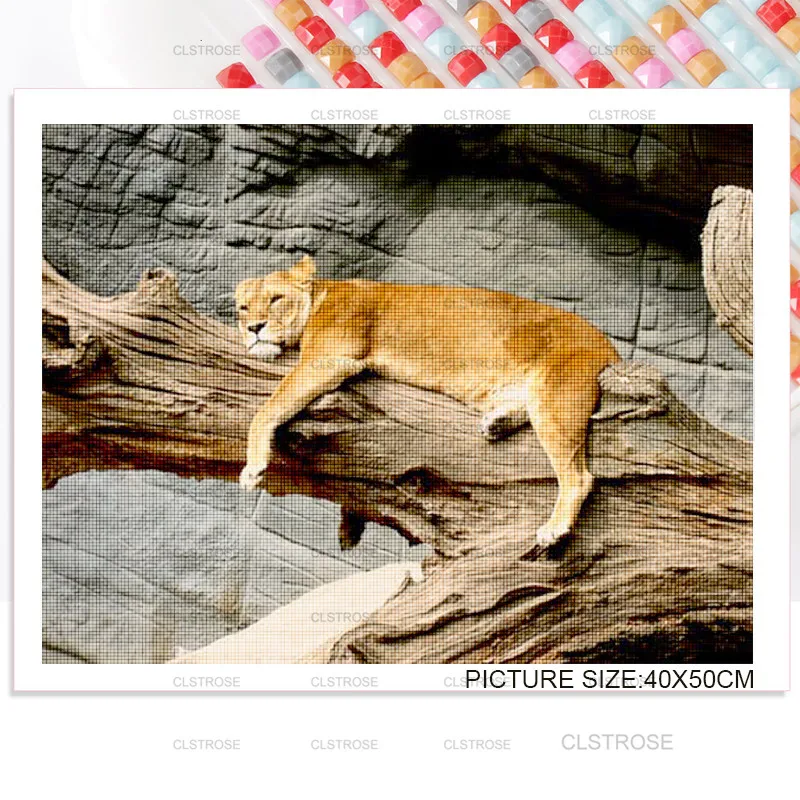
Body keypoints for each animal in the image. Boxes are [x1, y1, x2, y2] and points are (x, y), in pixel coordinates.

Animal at [235, 256, 620, 546]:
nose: (254, 328)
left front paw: (253, 468)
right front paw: (349, 526)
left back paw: (555, 529)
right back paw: (497, 423)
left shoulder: (329, 359)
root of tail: (609, 346)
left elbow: (268, 408)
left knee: (579, 475)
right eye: (242, 307)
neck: (321, 297)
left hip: (556, 396)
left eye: (275, 299)